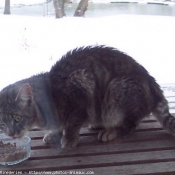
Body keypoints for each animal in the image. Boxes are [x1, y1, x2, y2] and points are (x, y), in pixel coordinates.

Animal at [0, 45, 175, 148]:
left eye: (17, 118)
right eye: (2, 122)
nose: (11, 133)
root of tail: (153, 84)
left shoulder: (81, 88)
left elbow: (72, 124)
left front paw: (69, 139)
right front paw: (54, 133)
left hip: (115, 94)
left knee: (131, 123)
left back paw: (111, 131)